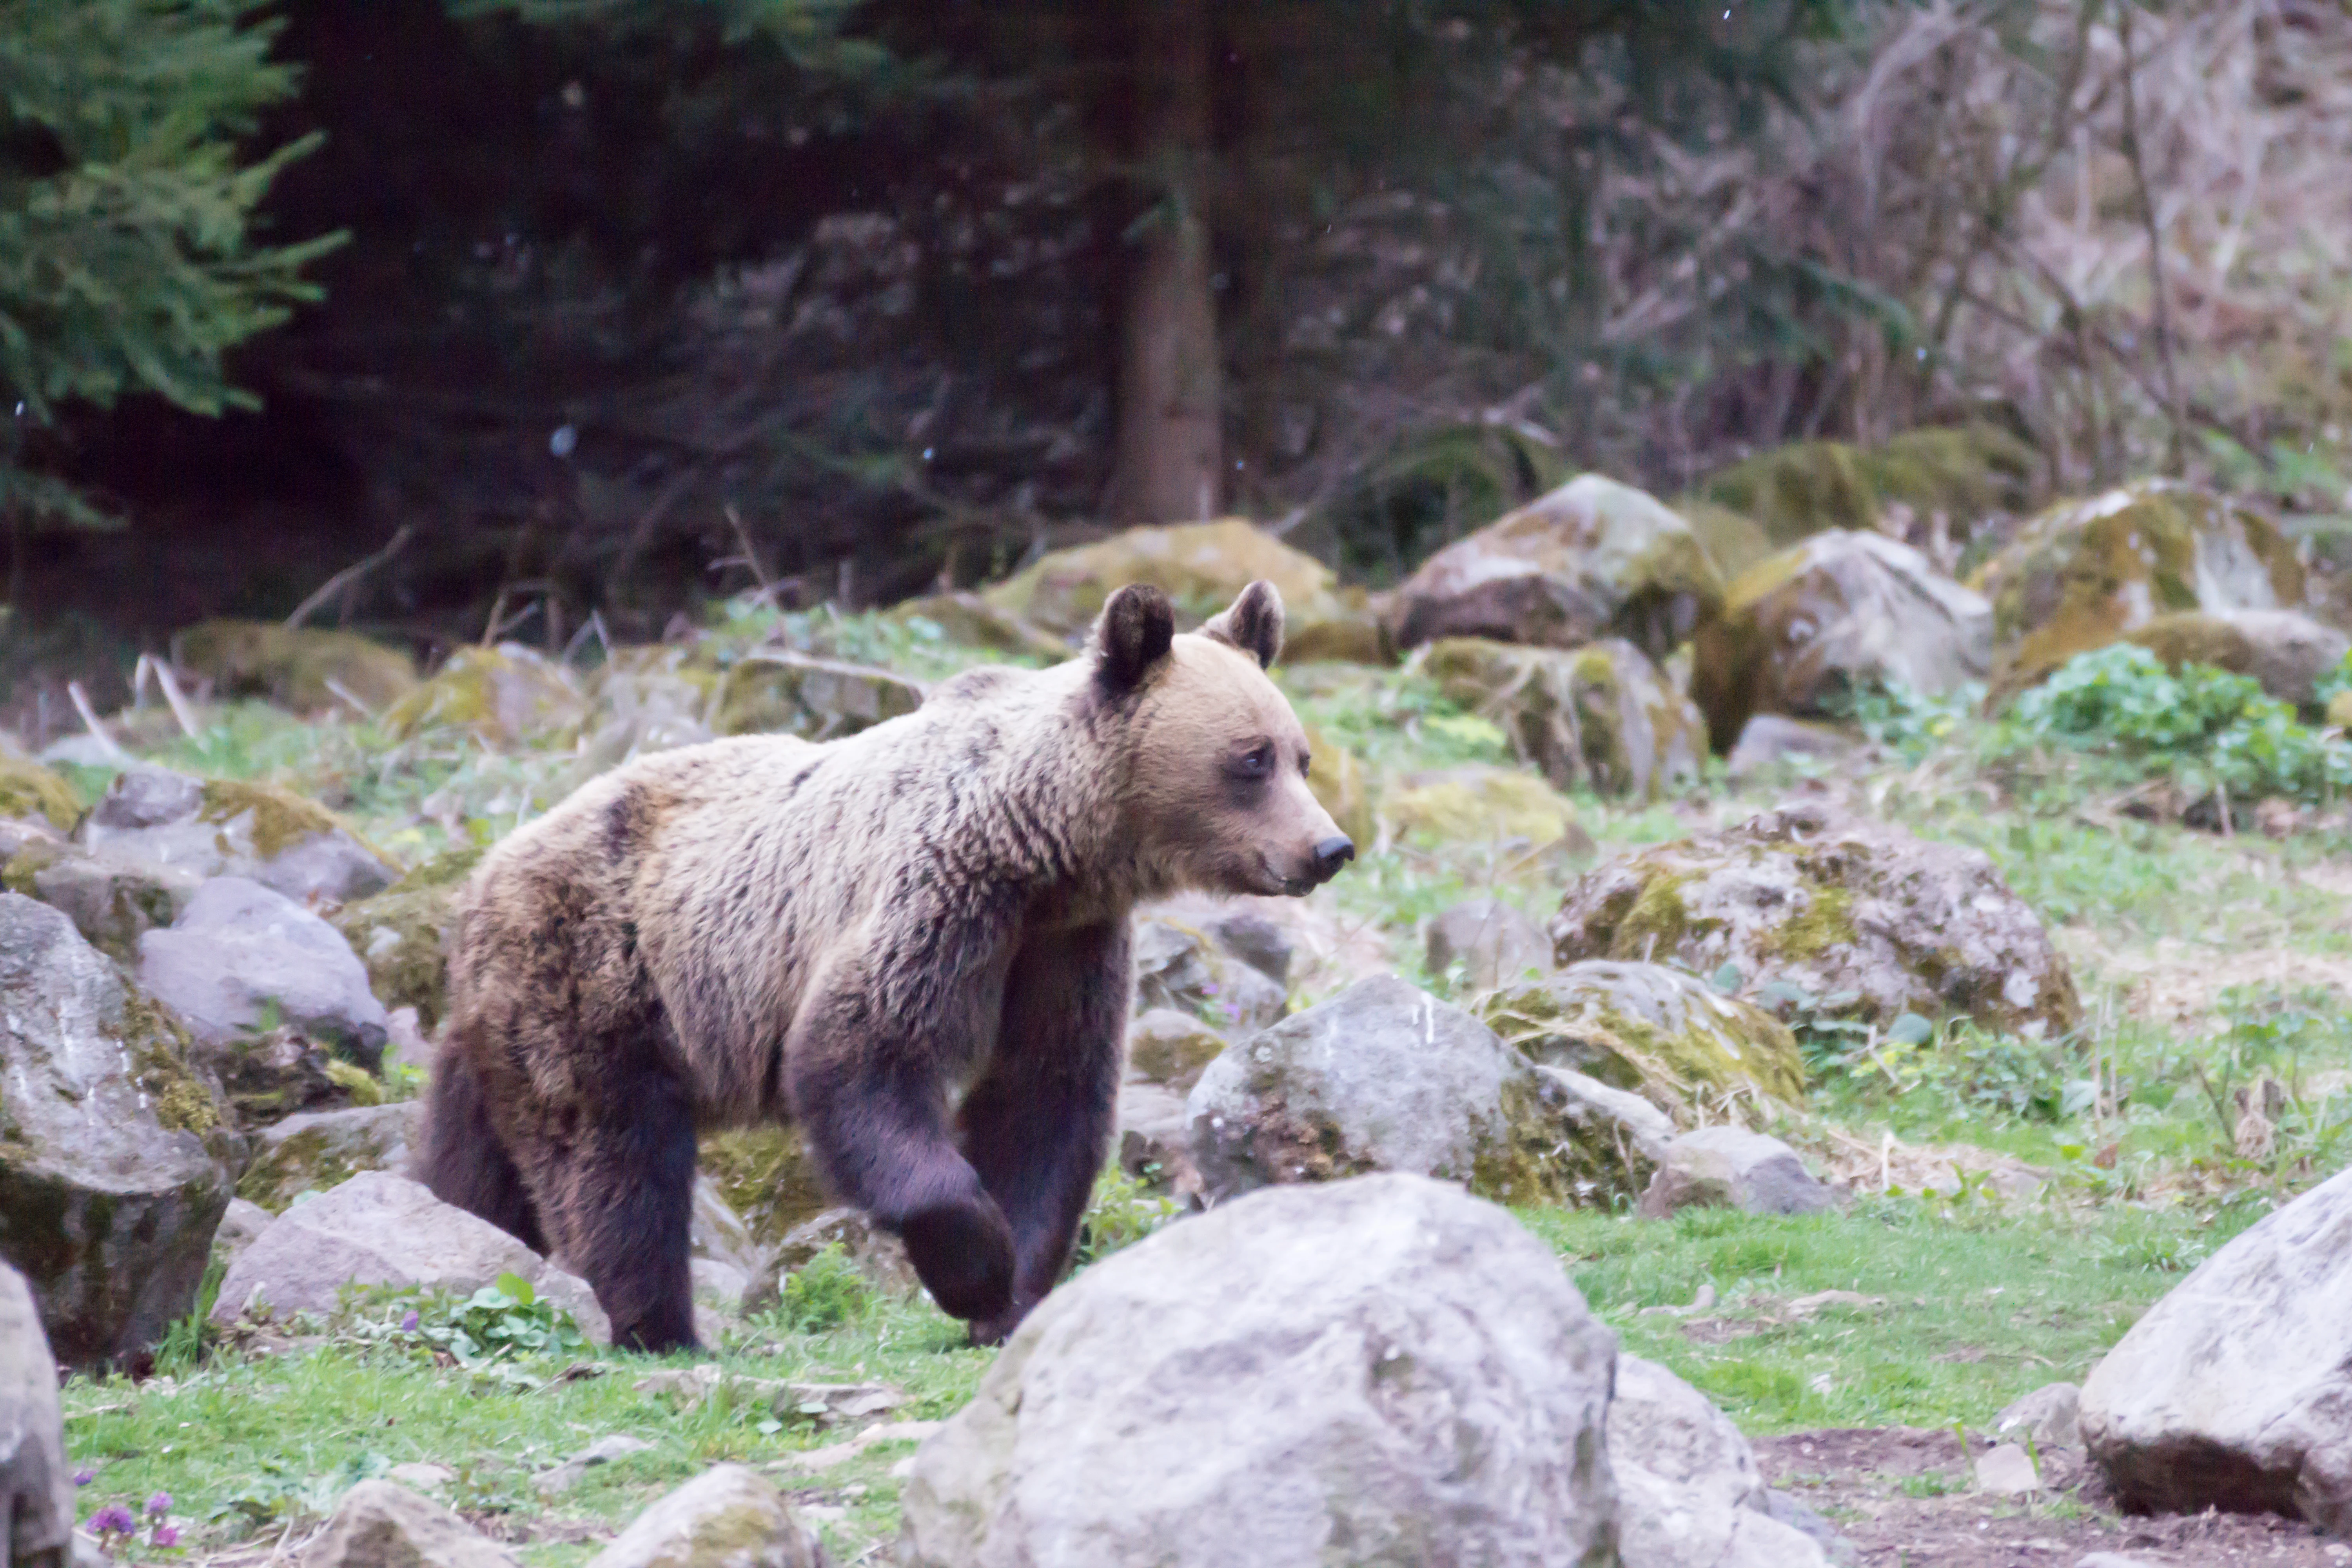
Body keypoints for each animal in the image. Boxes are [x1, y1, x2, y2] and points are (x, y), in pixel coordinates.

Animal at [421, 579, 1354, 1350]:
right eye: (1251, 758)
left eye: (1300, 754)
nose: (1328, 847)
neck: (1045, 847)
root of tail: (481, 877)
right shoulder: (938, 896)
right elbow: (862, 1055)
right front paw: (976, 1264)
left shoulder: (1064, 945)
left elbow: (1043, 1097)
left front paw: (1010, 1298)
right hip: (600, 977)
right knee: (614, 1160)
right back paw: (657, 1328)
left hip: (502, 1030)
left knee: (473, 1165)